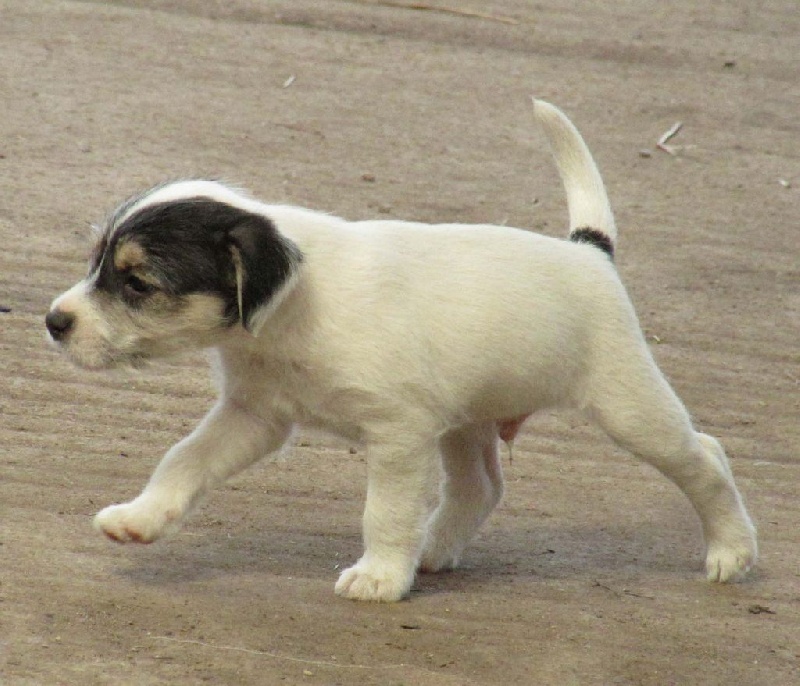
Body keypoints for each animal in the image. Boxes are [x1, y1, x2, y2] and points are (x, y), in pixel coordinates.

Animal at [47, 99, 760, 600]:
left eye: (137, 282)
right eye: (98, 263)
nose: (54, 321)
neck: (293, 312)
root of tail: (589, 252)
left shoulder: (397, 435)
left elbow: (384, 513)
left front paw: (381, 576)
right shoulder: (255, 415)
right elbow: (183, 460)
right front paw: (140, 518)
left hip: (629, 407)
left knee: (706, 458)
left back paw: (732, 552)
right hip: (467, 421)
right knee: (481, 488)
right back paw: (434, 550)